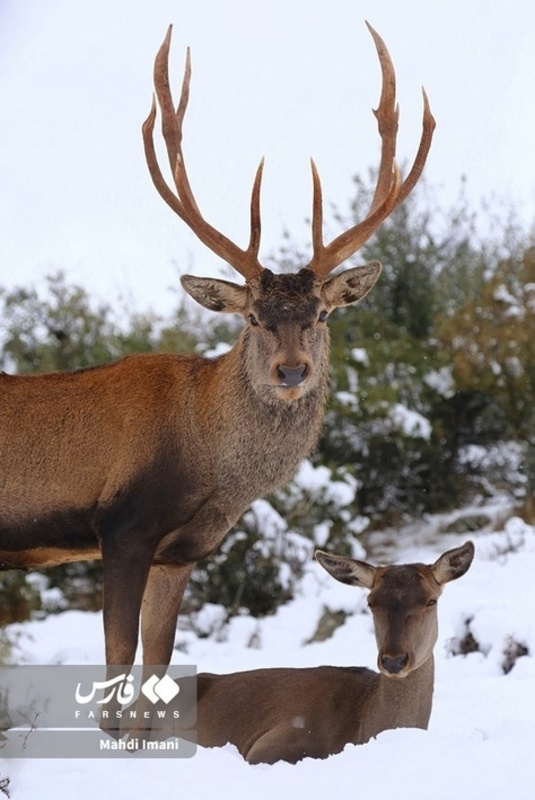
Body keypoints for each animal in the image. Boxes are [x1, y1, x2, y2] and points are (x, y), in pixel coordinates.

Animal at [0, 23, 436, 692]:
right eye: (253, 317)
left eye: (322, 315)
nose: (291, 370)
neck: (205, 467)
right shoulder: (123, 526)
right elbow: (118, 664)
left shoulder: (182, 551)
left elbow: (158, 659)